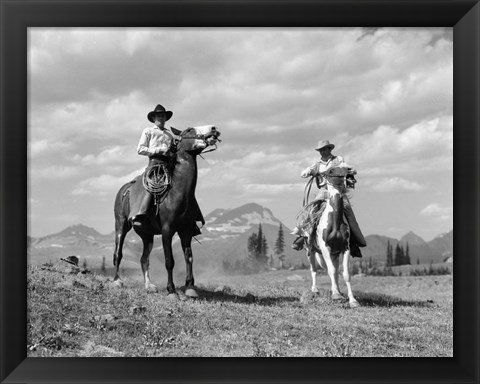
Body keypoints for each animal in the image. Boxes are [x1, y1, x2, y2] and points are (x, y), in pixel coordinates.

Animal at [112, 124, 221, 298]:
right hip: (121, 225)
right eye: (189, 130)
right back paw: (117, 281)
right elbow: (169, 261)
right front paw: (171, 290)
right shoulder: (167, 230)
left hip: (147, 235)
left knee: (144, 259)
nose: (213, 129)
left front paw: (190, 287)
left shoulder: (186, 231)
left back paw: (149, 286)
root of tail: (124, 189)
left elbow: (189, 257)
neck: (177, 193)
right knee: (118, 253)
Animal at [304, 167, 360, 308]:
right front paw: (335, 295)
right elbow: (331, 271)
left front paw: (352, 300)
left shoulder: (345, 248)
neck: (334, 221)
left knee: (334, 272)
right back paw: (315, 290)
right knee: (314, 269)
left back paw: (338, 291)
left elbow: (344, 274)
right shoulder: (325, 249)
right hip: (310, 250)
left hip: (334, 254)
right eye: (331, 171)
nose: (351, 172)